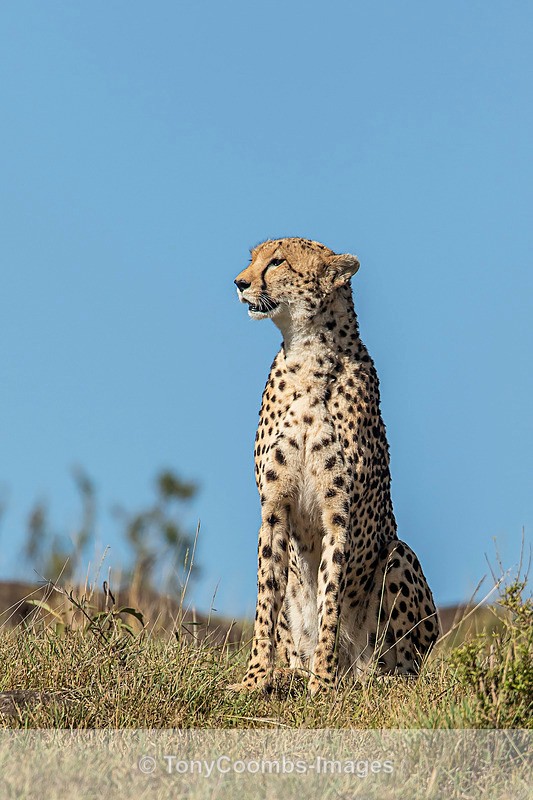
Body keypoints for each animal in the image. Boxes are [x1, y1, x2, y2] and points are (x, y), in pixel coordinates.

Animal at [231, 237, 440, 695]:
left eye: (277, 262)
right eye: (253, 258)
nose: (239, 282)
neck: (307, 356)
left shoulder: (339, 513)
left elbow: (331, 596)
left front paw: (323, 682)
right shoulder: (273, 506)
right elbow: (266, 595)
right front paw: (255, 678)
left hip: (398, 556)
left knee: (399, 667)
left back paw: (368, 679)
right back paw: (291, 672)